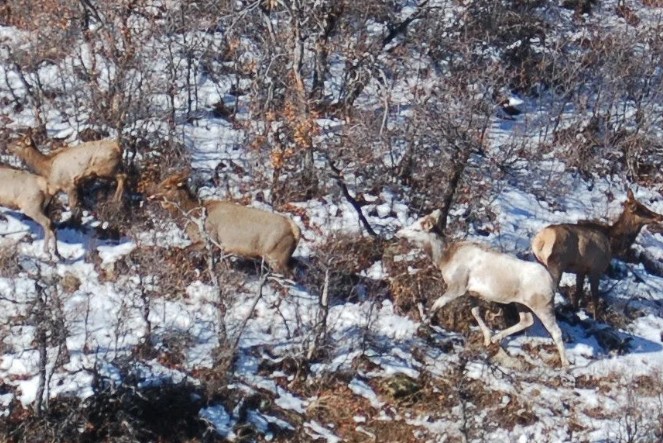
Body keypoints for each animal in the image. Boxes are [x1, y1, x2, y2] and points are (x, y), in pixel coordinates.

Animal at [149, 173, 302, 274]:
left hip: (276, 257)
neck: (193, 218)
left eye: (167, 187)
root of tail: (295, 231)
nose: (149, 193)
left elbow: (184, 250)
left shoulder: (209, 239)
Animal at [396, 211, 568, 368]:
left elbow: (436, 304)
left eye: (417, 228)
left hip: (543, 306)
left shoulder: (458, 286)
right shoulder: (471, 293)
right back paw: (496, 338)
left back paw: (565, 364)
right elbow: (476, 312)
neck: (445, 260)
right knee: (527, 320)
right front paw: (487, 337)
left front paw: (422, 324)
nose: (399, 233)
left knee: (556, 331)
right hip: (522, 303)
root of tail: (552, 282)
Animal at [532, 189, 663, 318]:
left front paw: (575, 310)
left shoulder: (581, 269)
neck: (613, 244)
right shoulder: (596, 269)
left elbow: (578, 292)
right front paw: (596, 318)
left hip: (541, 262)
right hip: (557, 263)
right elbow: (595, 296)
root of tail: (540, 241)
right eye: (643, 210)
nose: (660, 216)